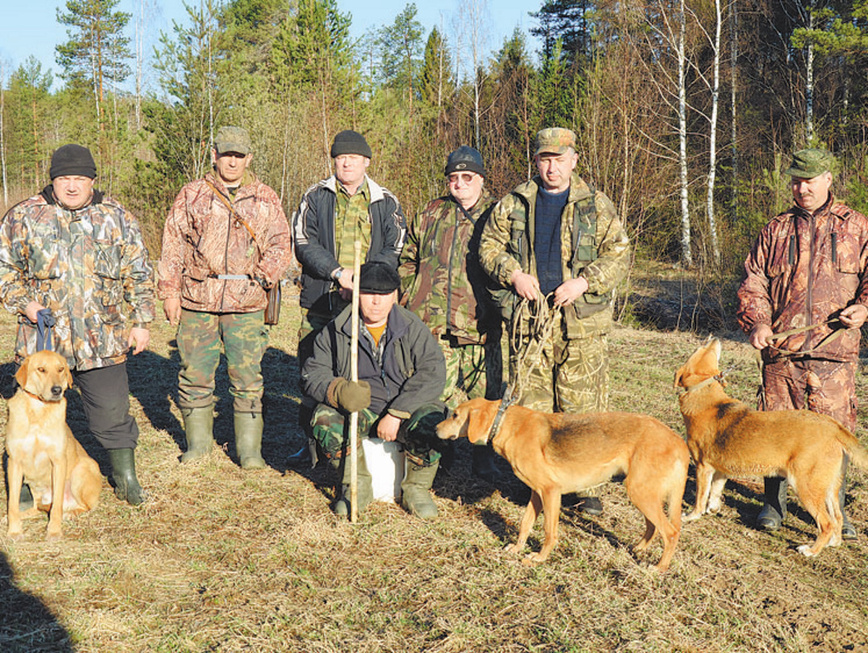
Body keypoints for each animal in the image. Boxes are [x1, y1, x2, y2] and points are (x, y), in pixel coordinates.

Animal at [5, 348, 101, 536]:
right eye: (41, 369)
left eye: (61, 369)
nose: (57, 390)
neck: (38, 411)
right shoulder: (14, 462)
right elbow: (12, 503)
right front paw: (14, 530)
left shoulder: (58, 461)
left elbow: (56, 505)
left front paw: (54, 531)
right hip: (33, 485)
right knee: (35, 508)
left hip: (82, 469)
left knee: (84, 506)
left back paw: (70, 513)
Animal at [438, 394, 688, 568]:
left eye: (455, 415)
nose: (434, 427)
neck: (504, 422)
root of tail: (679, 442)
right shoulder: (536, 494)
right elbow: (525, 524)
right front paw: (518, 548)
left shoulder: (550, 492)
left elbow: (549, 531)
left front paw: (539, 558)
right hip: (645, 494)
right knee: (654, 527)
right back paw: (639, 549)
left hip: (640, 492)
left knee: (670, 532)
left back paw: (659, 568)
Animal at [680, 336, 868, 556]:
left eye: (702, 349)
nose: (713, 337)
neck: (706, 396)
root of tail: (834, 427)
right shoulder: (720, 470)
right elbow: (715, 493)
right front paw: (713, 509)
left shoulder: (703, 467)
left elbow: (700, 499)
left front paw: (692, 516)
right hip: (829, 487)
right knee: (836, 518)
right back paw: (832, 543)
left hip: (805, 486)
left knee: (827, 523)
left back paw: (811, 551)